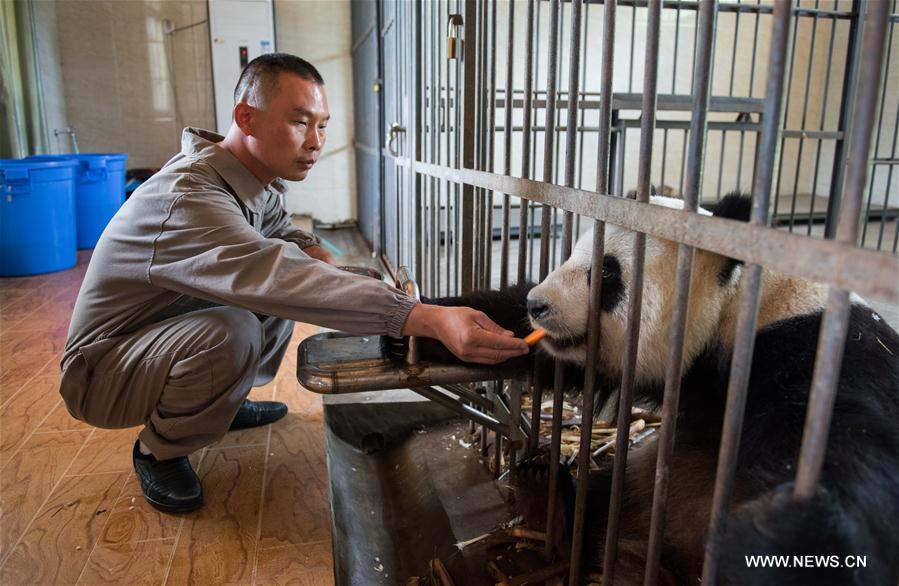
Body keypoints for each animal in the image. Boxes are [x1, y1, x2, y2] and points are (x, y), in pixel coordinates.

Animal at [420, 193, 899, 584]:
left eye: (606, 272)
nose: (537, 305)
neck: (738, 309)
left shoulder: (810, 353)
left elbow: (850, 442)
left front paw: (787, 534)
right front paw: (439, 328)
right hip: (643, 489)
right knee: (606, 503)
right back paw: (548, 496)